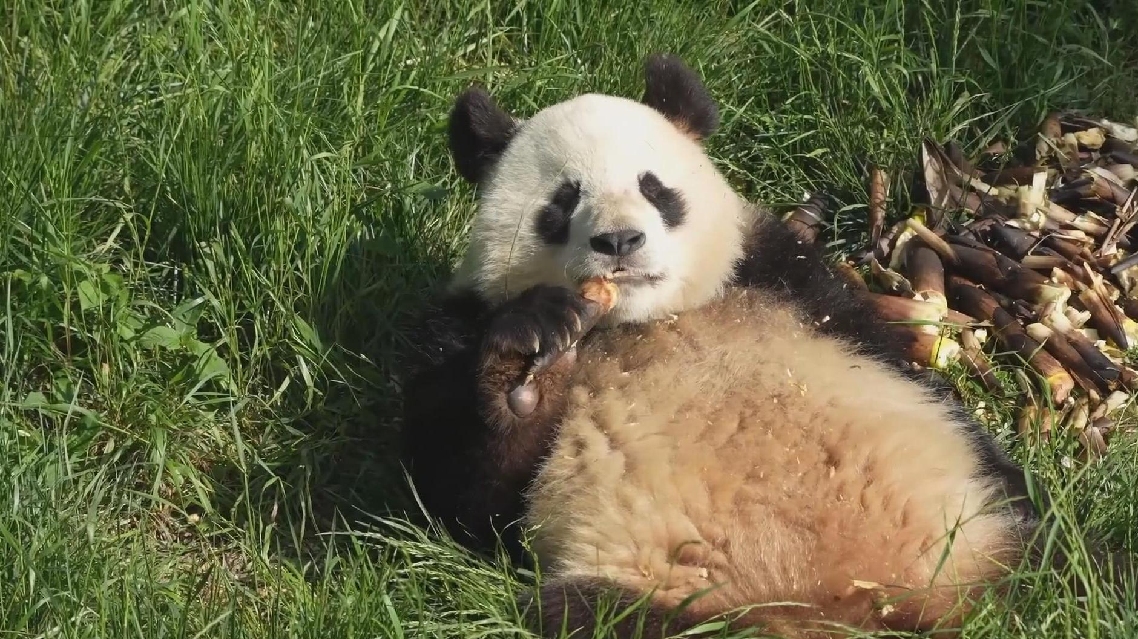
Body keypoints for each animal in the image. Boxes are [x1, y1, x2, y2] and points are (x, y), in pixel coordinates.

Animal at [398, 54, 1129, 638]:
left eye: (655, 189)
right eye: (562, 202)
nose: (619, 242)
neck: (639, 321)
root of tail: (852, 609)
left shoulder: (791, 278)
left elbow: (917, 377)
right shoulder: (461, 322)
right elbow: (460, 491)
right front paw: (528, 362)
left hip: (976, 535)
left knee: (1072, 566)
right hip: (659, 595)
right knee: (588, 616)